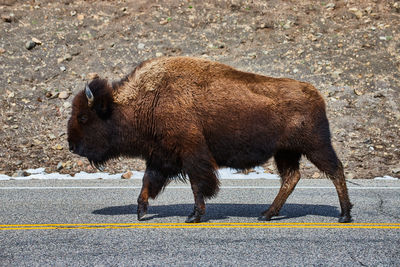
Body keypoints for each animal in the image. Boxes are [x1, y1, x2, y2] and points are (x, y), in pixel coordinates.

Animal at [69, 56, 354, 224]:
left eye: (83, 117)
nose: (72, 146)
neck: (151, 98)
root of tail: (316, 94)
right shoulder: (161, 157)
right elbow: (148, 181)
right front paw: (141, 211)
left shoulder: (192, 154)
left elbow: (198, 185)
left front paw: (194, 216)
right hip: (285, 152)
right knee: (291, 178)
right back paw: (266, 214)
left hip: (315, 146)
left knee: (335, 171)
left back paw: (344, 215)